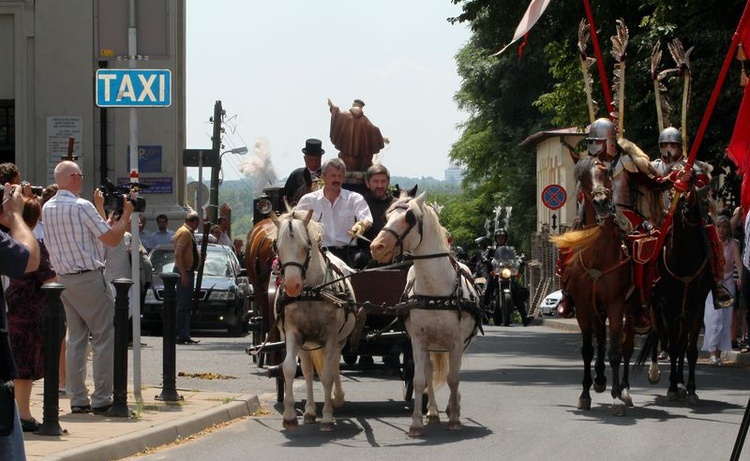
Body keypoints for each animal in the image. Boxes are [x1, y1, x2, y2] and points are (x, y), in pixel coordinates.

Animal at [274, 210, 358, 430]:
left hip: (339, 340)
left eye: (306, 246)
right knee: (308, 371)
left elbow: (328, 374)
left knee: (334, 364)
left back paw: (337, 398)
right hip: (306, 344)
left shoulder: (331, 336)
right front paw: (289, 415)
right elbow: (289, 368)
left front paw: (328, 416)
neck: (311, 292)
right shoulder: (293, 334)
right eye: (277, 247)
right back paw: (311, 411)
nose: (292, 285)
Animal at [370, 192, 482, 436]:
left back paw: (451, 407)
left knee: (453, 373)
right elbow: (420, 380)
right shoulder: (418, 341)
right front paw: (416, 423)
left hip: (460, 344)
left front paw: (455, 418)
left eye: (409, 218)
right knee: (430, 373)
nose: (376, 247)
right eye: (387, 216)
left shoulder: (456, 341)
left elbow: (453, 378)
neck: (435, 291)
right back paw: (431, 412)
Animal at [552, 156, 636, 416]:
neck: (598, 255)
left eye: (607, 173)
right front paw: (585, 394)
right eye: (583, 177)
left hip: (628, 308)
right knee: (600, 338)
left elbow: (616, 351)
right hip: (597, 309)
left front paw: (616, 396)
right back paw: (599, 380)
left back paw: (625, 391)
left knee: (626, 345)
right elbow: (588, 349)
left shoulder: (616, 304)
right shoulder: (583, 307)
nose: (600, 202)